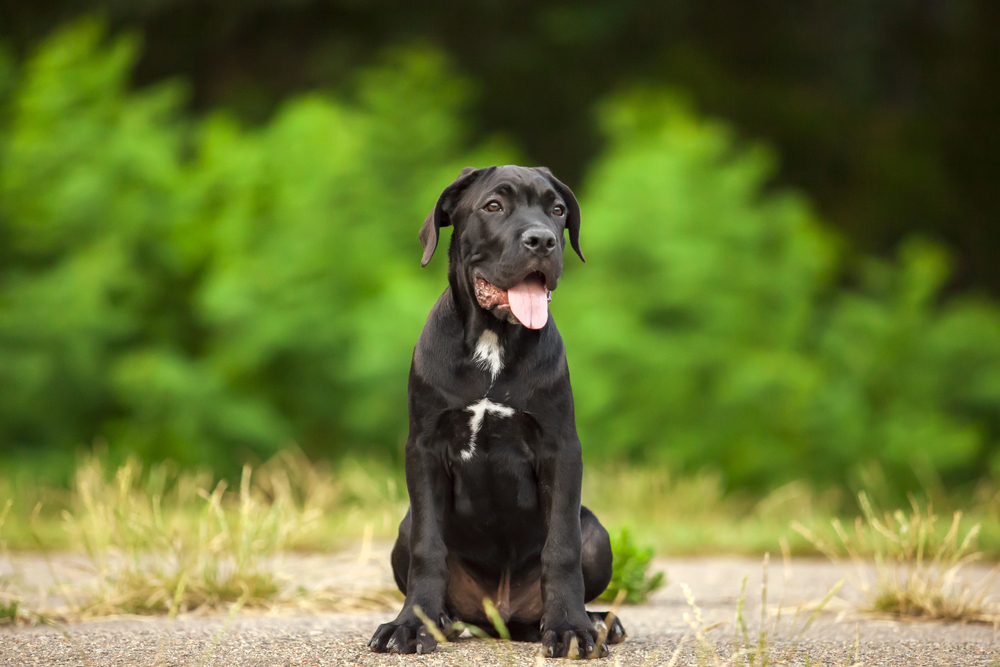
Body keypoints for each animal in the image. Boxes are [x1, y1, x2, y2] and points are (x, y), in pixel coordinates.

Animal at [370, 166, 624, 656]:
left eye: (557, 210)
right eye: (493, 206)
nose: (542, 240)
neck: (493, 341)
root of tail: (500, 616)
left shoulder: (560, 448)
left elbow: (560, 549)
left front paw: (570, 628)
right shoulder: (424, 448)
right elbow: (428, 549)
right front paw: (411, 624)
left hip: (597, 535)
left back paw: (596, 621)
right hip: (403, 530)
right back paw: (443, 621)